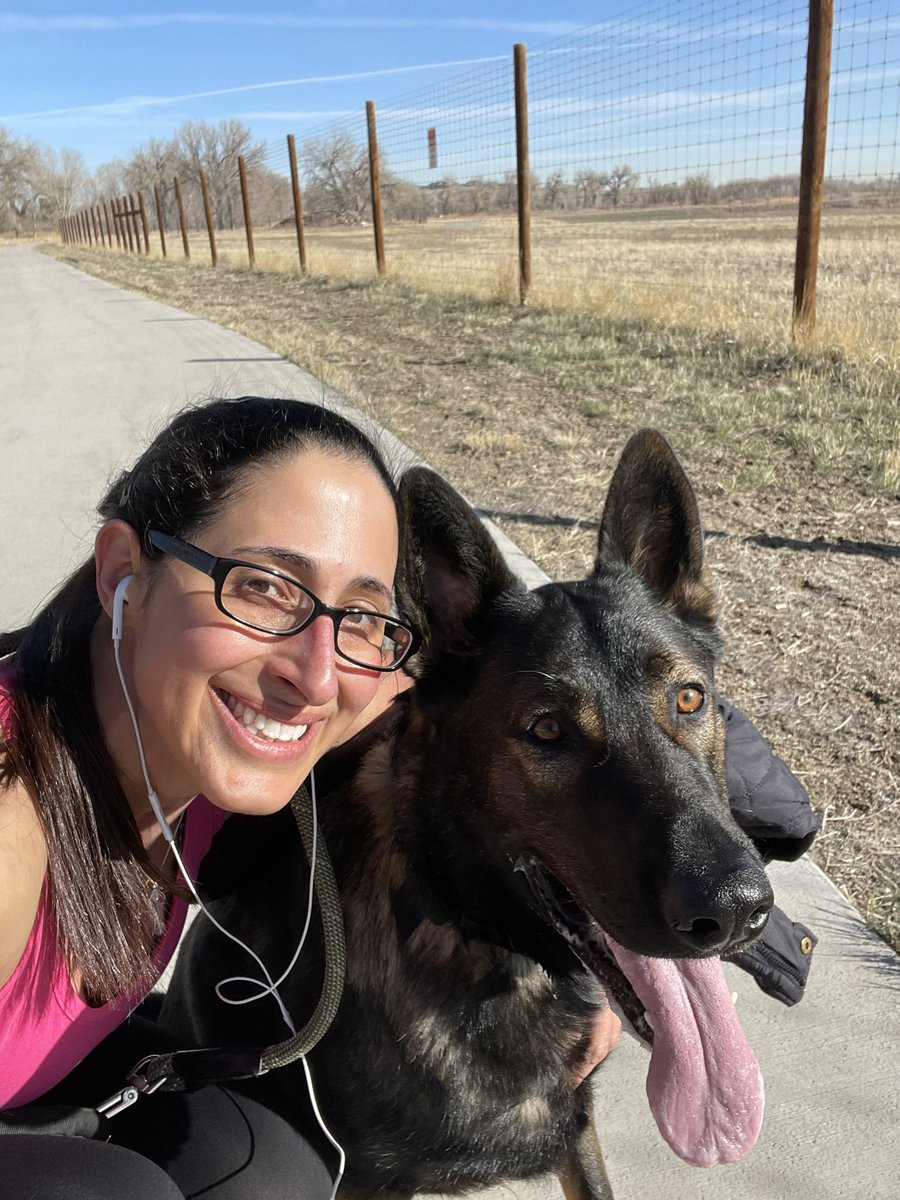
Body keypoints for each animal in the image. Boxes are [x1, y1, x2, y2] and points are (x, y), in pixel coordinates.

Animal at [162, 432, 777, 1200]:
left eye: (689, 699)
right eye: (547, 730)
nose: (737, 910)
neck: (471, 934)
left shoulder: (576, 1129)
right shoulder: (367, 1178)